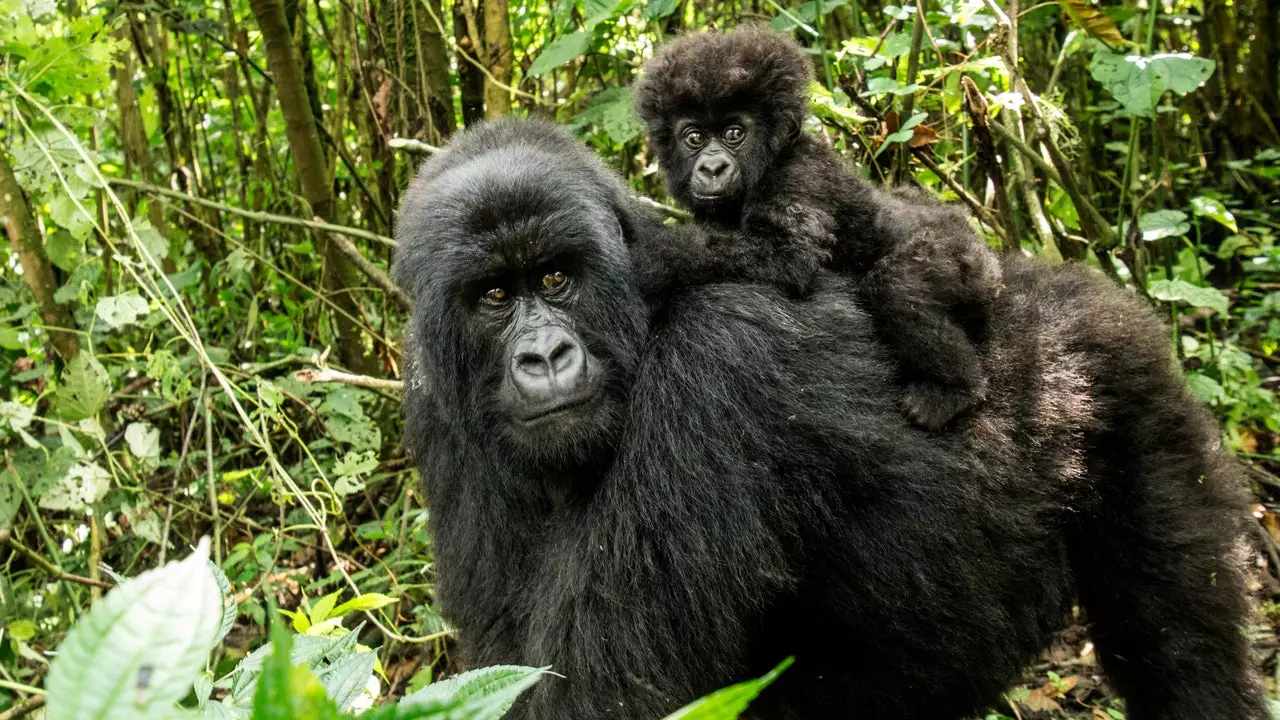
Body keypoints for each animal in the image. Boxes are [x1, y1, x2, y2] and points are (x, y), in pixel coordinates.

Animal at [391, 120, 1259, 712]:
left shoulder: (714, 374)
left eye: (556, 278)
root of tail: (1061, 284)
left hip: (1130, 390)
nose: (544, 356)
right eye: (494, 296)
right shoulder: (436, 411)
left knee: (1181, 648)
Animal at [634, 28, 1003, 427]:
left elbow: (787, 253)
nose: (712, 168)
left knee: (898, 285)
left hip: (970, 261)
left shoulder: (799, 173)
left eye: (734, 133)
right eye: (695, 138)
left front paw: (651, 256)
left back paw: (955, 390)